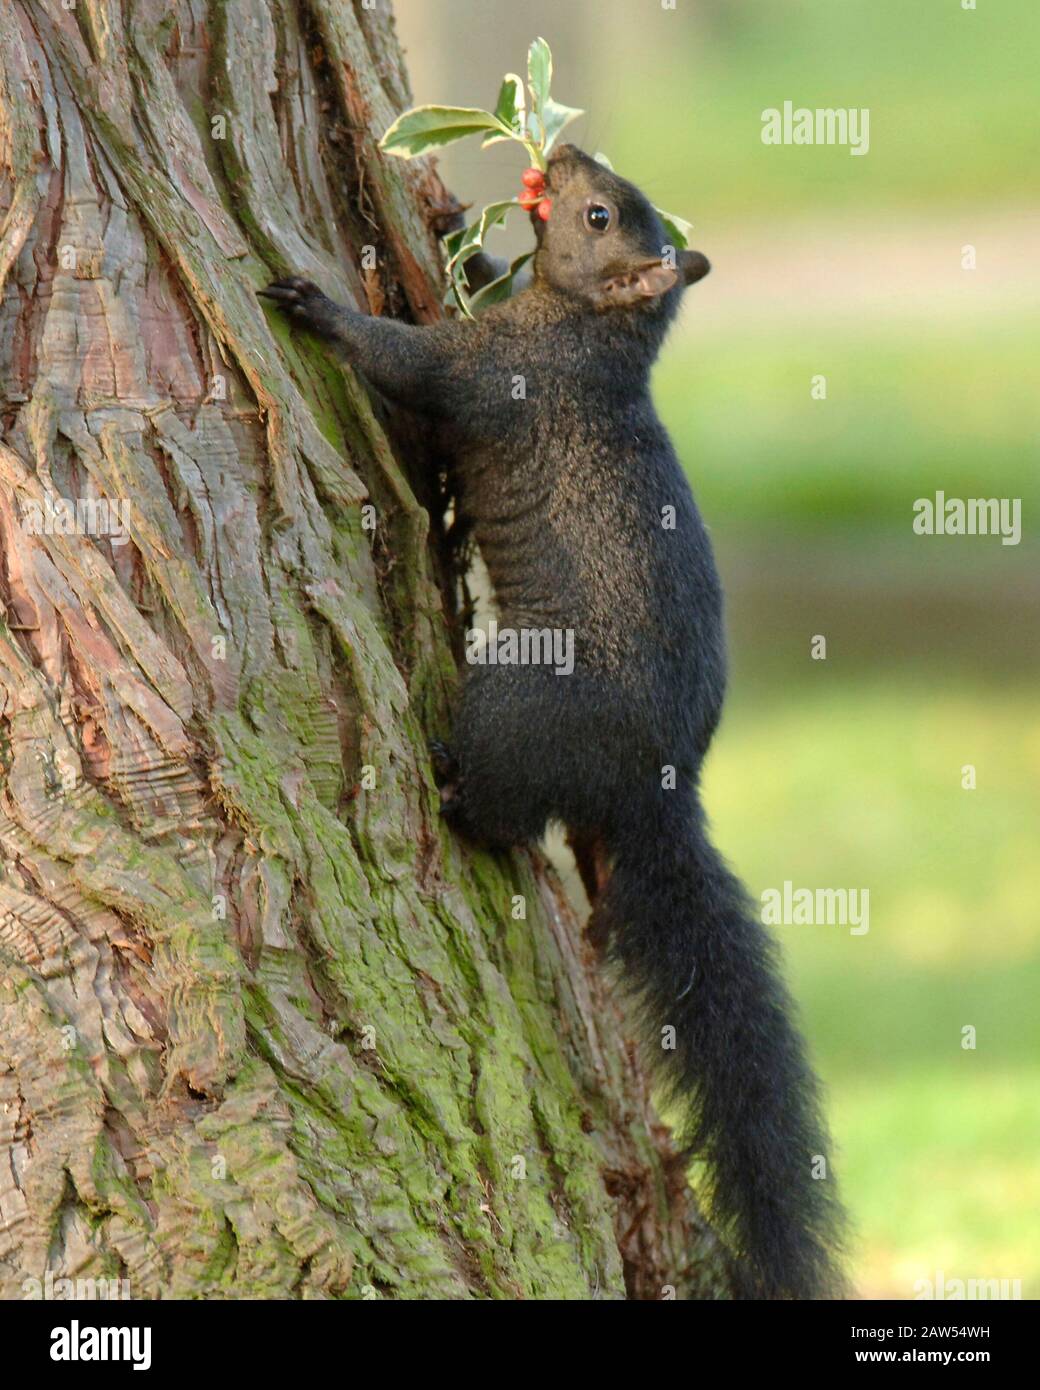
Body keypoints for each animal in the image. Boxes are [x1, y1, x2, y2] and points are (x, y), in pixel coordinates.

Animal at [258, 146, 845, 1295]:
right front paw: (457, 223)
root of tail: (660, 788)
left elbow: (410, 363)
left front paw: (318, 306)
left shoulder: (494, 373)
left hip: (519, 702)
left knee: (501, 812)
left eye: (598, 214)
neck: (585, 333)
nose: (560, 156)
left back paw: (451, 791)